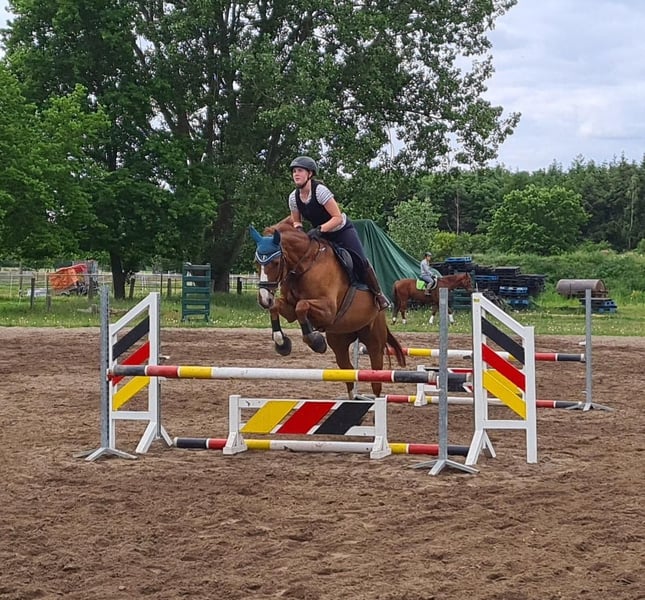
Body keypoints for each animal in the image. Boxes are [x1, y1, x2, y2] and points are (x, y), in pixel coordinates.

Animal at [249, 218, 406, 398]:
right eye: (256, 263)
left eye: (275, 263)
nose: (263, 299)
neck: (305, 265)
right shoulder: (289, 310)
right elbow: (277, 308)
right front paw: (282, 343)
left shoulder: (328, 310)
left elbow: (302, 306)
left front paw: (315, 341)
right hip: (339, 341)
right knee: (349, 372)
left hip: (374, 342)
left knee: (376, 381)